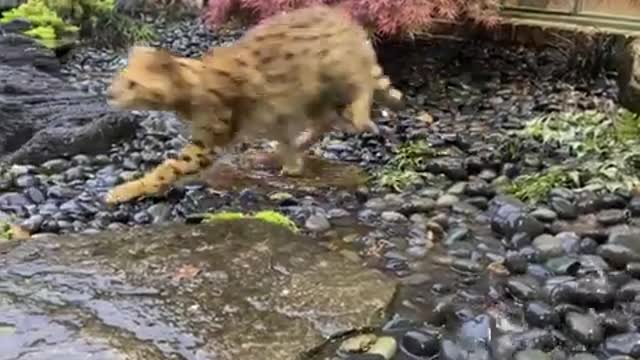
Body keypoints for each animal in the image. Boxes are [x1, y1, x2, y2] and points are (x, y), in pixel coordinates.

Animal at [105, 4, 404, 204]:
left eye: (132, 84)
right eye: (120, 79)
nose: (109, 94)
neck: (190, 87)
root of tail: (346, 21)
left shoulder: (209, 140)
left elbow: (169, 169)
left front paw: (128, 189)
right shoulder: (276, 113)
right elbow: (285, 138)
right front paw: (292, 162)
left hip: (336, 69)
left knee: (363, 84)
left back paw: (361, 115)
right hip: (314, 95)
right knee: (325, 121)